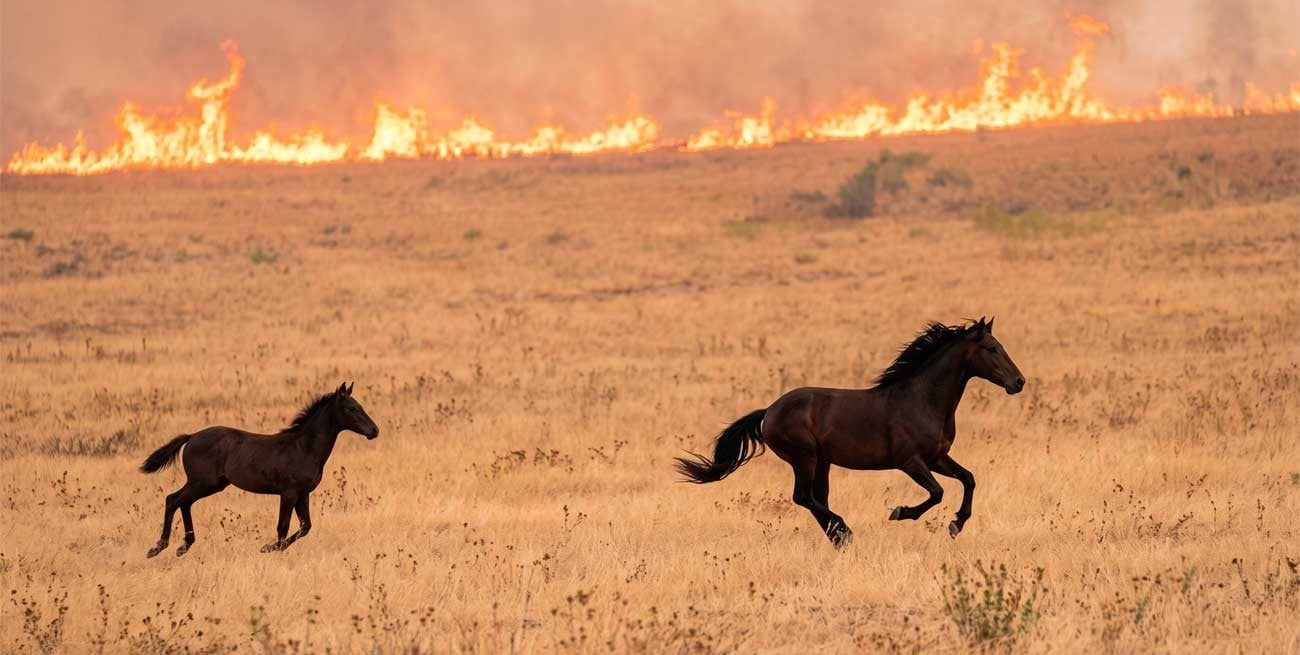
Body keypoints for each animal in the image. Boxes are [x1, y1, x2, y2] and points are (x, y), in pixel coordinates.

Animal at [139, 382, 379, 557]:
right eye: (351, 408)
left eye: (360, 406)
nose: (374, 430)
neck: (303, 448)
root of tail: (191, 437)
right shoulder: (289, 493)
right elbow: (283, 526)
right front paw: (269, 549)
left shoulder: (303, 494)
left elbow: (306, 526)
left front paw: (272, 548)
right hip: (202, 482)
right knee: (173, 500)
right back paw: (158, 547)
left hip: (210, 485)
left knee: (183, 502)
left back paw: (183, 546)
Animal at [675, 317, 1024, 547]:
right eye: (992, 348)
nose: (1018, 382)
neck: (922, 399)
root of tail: (769, 411)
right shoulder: (910, 462)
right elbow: (936, 493)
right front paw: (900, 513)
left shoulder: (937, 458)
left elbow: (969, 479)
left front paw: (956, 524)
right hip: (805, 457)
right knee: (803, 497)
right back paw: (844, 531)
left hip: (822, 462)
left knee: (815, 498)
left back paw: (838, 537)